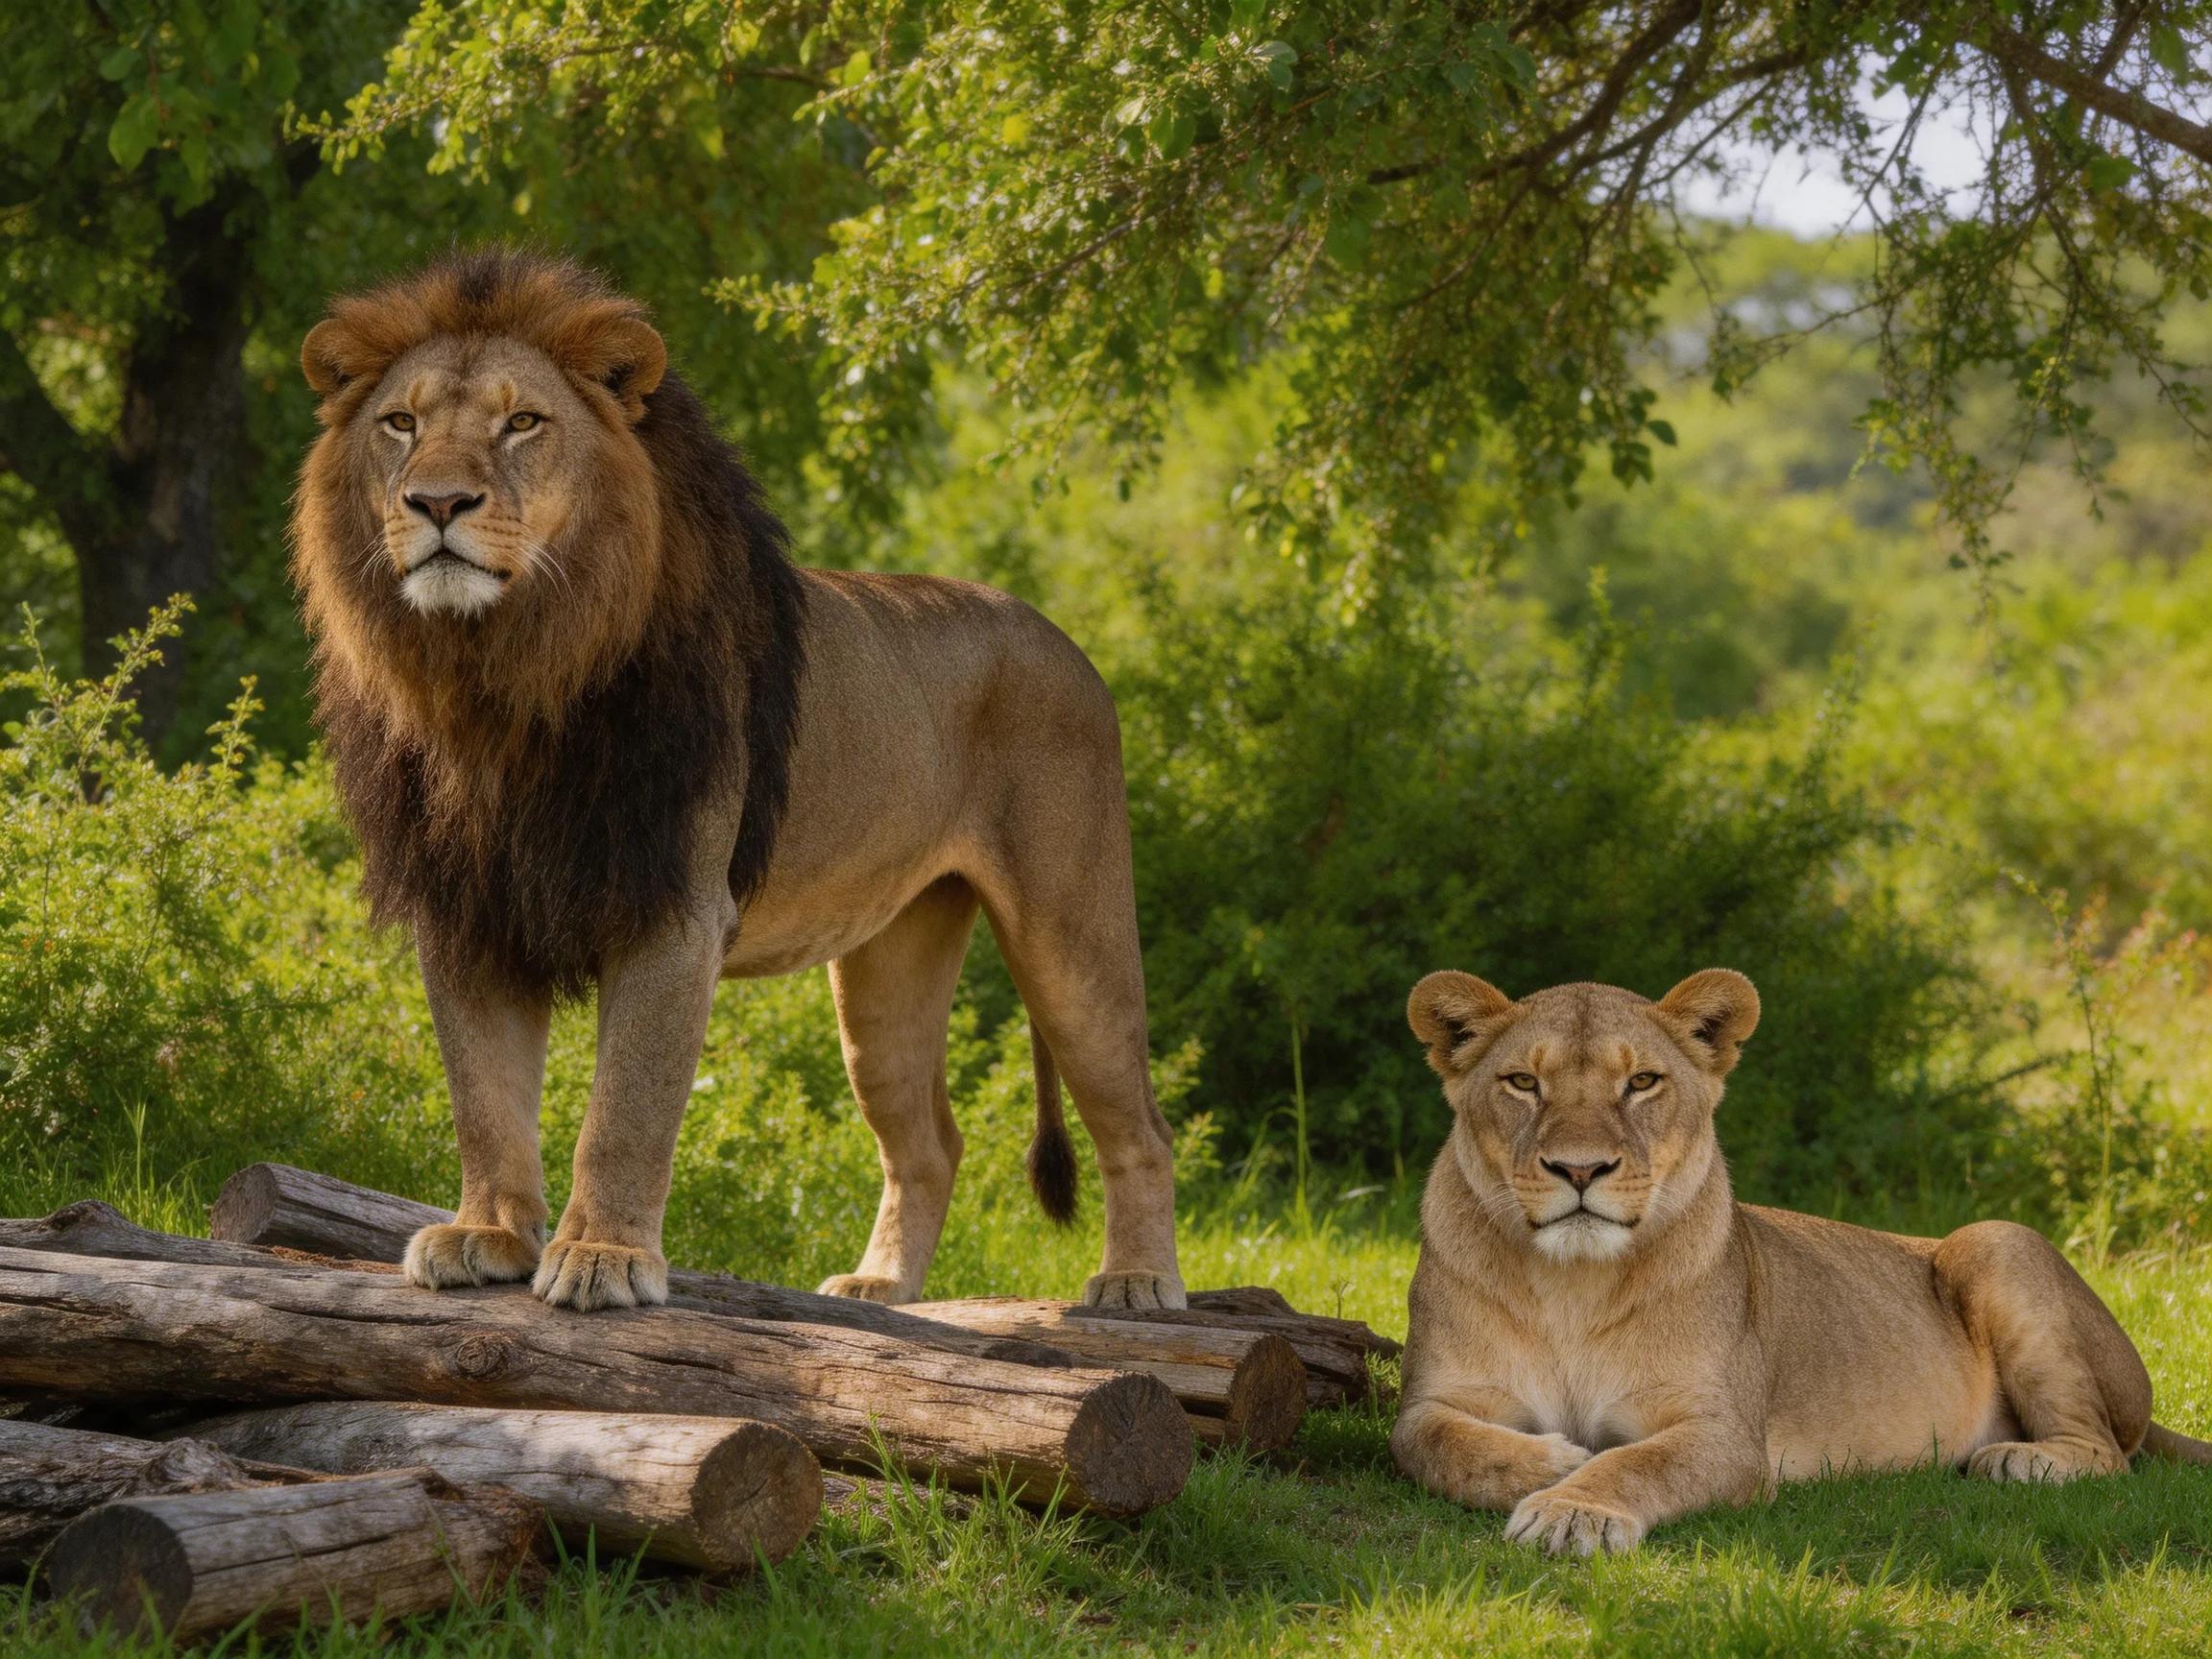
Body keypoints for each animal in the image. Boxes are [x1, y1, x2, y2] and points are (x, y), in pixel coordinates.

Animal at [290, 249, 1183, 1315]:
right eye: (401, 424)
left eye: (523, 423)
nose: (435, 503)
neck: (497, 678)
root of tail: (1066, 642)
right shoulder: (470, 911)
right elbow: (485, 1098)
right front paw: (488, 1235)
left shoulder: (675, 909)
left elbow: (625, 1110)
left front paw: (603, 1258)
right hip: (888, 965)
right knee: (929, 1141)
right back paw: (882, 1287)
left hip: (1071, 933)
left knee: (1142, 1127)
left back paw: (1137, 1282)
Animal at [1391, 968, 2212, 1556]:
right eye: (1523, 1083)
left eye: (1642, 1082)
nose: (1581, 1168)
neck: (1573, 1285)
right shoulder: (1432, 1400)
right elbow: (1434, 1444)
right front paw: (1557, 1465)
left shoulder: (1727, 1435)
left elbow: (1638, 1462)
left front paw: (1573, 1508)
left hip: (1995, 1240)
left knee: (2110, 1449)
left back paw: (2021, 1460)